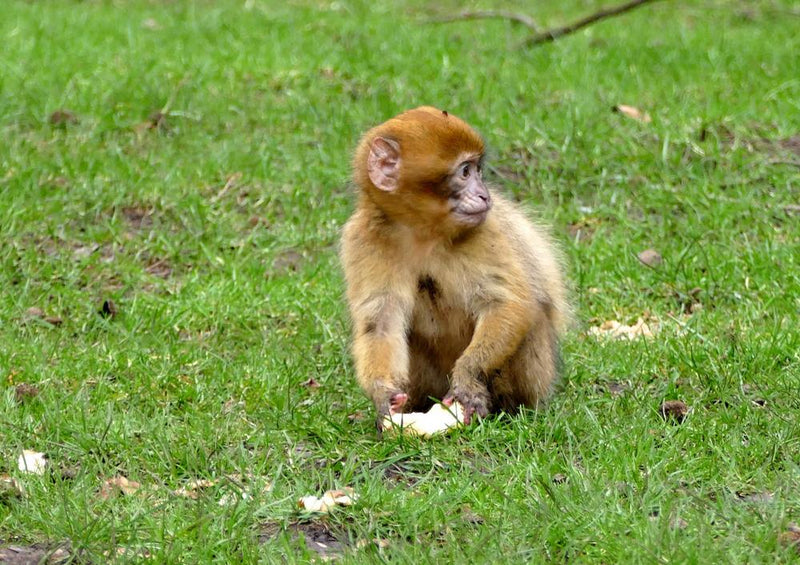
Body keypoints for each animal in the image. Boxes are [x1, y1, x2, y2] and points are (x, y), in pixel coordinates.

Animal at [340, 106, 568, 430]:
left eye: (477, 170)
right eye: (465, 172)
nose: (485, 195)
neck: (422, 232)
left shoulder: (486, 229)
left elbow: (508, 303)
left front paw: (468, 379)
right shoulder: (361, 238)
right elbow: (380, 321)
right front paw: (383, 395)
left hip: (537, 377)